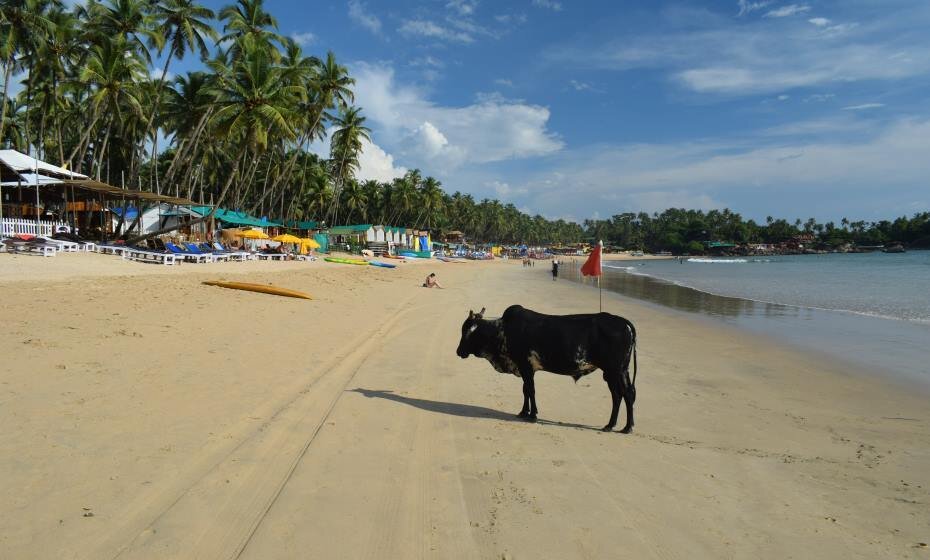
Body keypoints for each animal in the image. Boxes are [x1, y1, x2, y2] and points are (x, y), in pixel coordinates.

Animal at [456, 306, 640, 434]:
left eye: (465, 331)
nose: (458, 352)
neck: (502, 330)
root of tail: (624, 322)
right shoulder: (526, 368)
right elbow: (525, 390)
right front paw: (524, 412)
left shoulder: (525, 366)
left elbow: (530, 390)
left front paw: (533, 415)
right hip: (617, 372)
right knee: (620, 395)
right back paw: (612, 425)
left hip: (615, 370)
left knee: (626, 394)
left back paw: (626, 427)